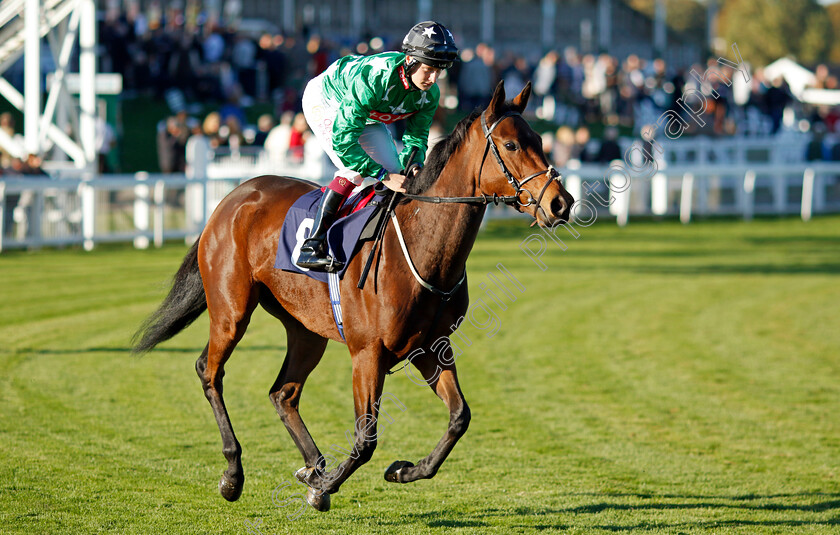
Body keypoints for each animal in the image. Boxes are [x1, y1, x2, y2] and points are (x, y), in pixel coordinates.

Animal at [133, 81, 576, 512]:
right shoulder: (368, 353)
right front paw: (325, 486)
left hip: (306, 329)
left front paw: (402, 470)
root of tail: (233, 197)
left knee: (283, 393)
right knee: (210, 372)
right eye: (511, 145)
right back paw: (234, 474)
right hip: (232, 310)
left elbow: (459, 417)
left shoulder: (433, 347)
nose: (561, 202)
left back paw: (312, 466)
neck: (419, 246)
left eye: (540, 139)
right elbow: (366, 440)